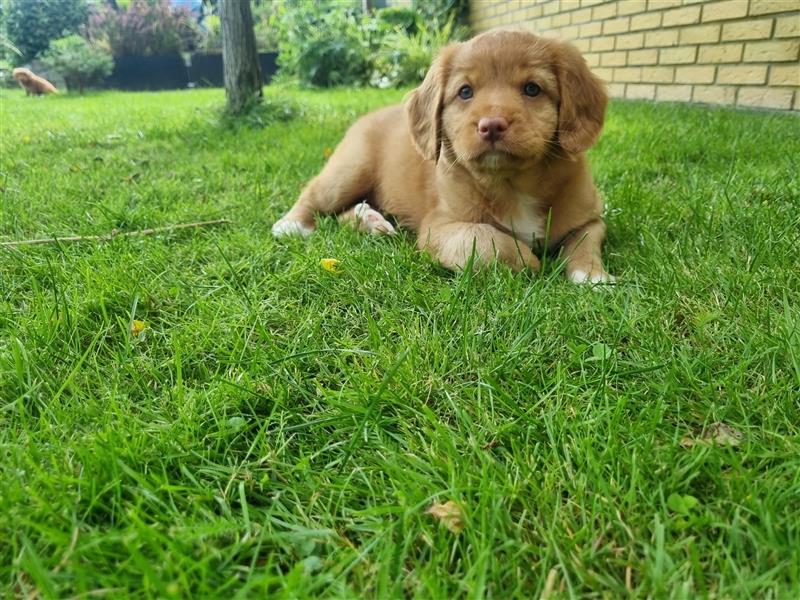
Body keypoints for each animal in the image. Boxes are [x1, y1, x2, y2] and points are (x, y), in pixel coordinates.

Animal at [274, 27, 612, 282]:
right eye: (465, 92)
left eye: (532, 89)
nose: (491, 125)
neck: (512, 183)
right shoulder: (439, 227)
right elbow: (489, 240)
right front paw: (532, 262)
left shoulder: (592, 218)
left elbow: (585, 240)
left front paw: (591, 275)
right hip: (349, 170)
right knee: (314, 196)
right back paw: (291, 225)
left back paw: (369, 220)